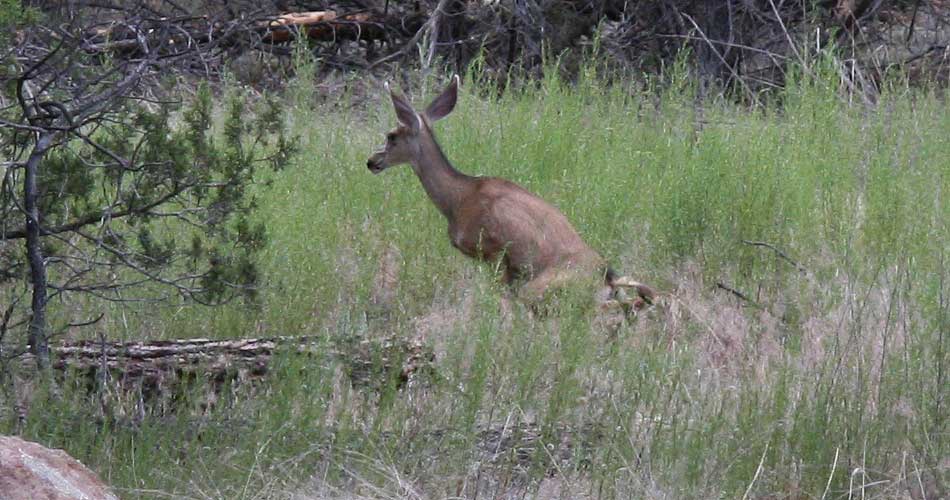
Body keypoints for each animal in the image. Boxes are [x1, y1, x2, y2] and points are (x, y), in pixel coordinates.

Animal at [368, 74, 660, 312]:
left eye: (391, 136)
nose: (371, 161)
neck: (458, 200)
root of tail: (607, 277)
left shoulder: (496, 250)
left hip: (541, 287)